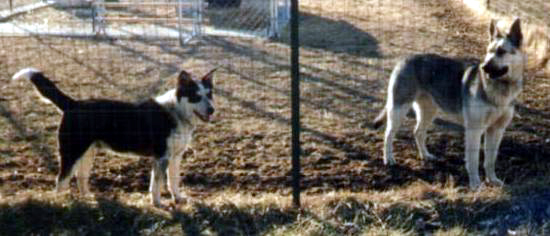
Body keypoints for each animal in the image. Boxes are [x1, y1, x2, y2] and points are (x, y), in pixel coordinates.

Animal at [11, 67, 217, 206]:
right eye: (196, 96)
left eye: (209, 94)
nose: (212, 110)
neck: (176, 112)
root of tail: (74, 104)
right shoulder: (161, 158)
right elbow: (156, 185)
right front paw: (158, 204)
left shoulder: (175, 157)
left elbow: (173, 181)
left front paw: (178, 199)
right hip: (72, 153)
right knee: (61, 181)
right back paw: (61, 203)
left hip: (87, 153)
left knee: (80, 177)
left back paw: (88, 199)